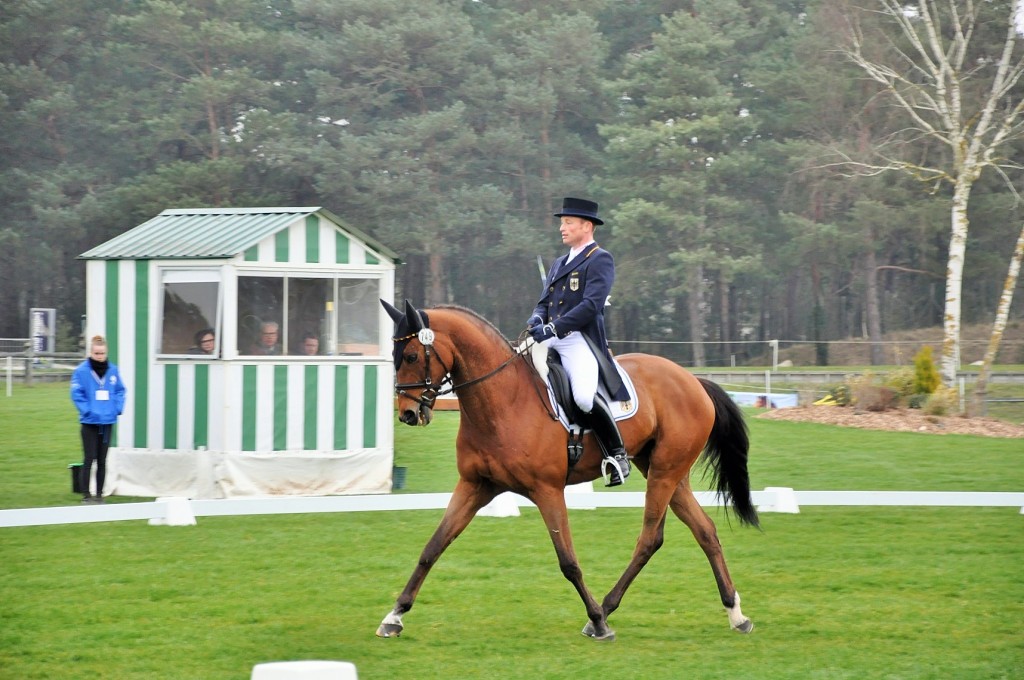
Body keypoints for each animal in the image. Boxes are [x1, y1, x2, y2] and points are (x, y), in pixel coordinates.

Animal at [378, 301, 761, 639]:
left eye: (412, 356)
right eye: (396, 357)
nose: (408, 414)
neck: (503, 400)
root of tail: (693, 381)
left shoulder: (547, 490)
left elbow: (568, 561)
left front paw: (597, 621)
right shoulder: (475, 486)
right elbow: (432, 548)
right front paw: (394, 616)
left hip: (665, 472)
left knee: (650, 538)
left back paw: (606, 609)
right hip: (666, 471)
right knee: (705, 531)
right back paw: (736, 614)